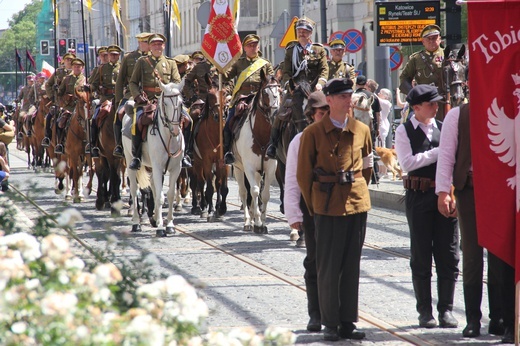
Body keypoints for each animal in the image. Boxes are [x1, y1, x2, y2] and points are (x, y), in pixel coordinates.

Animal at [122, 82, 185, 237]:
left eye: (181, 103)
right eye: (165, 103)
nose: (175, 130)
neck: (169, 137)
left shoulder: (176, 169)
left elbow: (169, 195)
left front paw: (169, 225)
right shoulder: (157, 167)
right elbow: (160, 197)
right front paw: (161, 228)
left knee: (152, 188)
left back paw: (155, 218)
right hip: (130, 160)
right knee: (134, 190)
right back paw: (136, 223)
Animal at [192, 88, 229, 220]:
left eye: (223, 95)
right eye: (211, 97)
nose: (219, 116)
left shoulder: (224, 161)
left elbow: (222, 186)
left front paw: (221, 209)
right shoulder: (207, 161)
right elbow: (209, 187)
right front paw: (211, 210)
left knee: (215, 183)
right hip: (197, 163)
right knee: (200, 182)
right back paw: (202, 207)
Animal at [232, 71, 280, 232]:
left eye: (279, 91)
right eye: (265, 93)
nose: (275, 114)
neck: (261, 134)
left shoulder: (271, 167)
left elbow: (264, 194)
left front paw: (263, 222)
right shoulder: (249, 167)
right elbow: (253, 191)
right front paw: (258, 222)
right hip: (237, 167)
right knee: (243, 191)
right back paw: (248, 221)